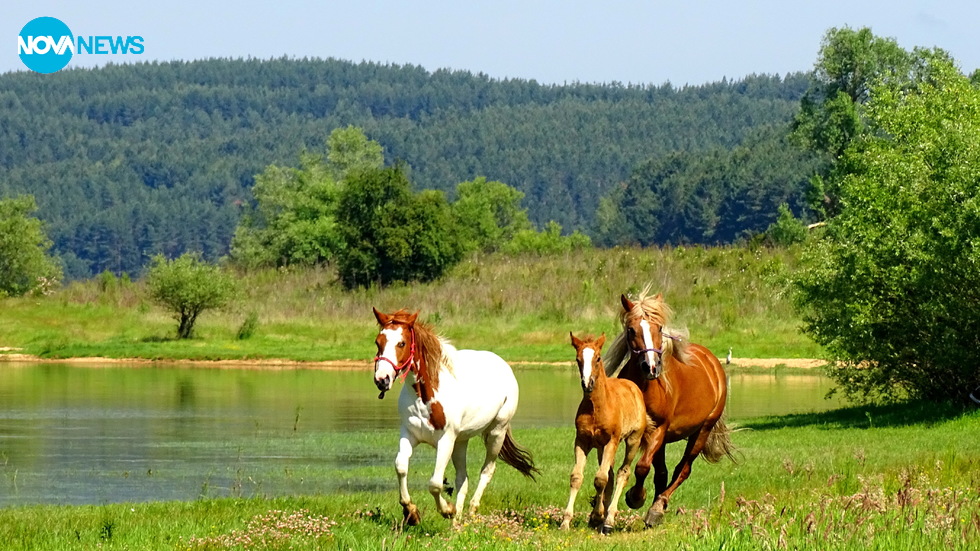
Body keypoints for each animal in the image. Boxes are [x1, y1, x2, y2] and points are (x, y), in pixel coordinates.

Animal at [372, 308, 536, 528]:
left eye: (401, 343)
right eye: (378, 342)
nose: (382, 379)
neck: (425, 396)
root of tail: (503, 365)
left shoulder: (446, 440)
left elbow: (435, 483)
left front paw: (446, 510)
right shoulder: (409, 434)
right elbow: (401, 466)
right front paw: (411, 512)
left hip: (496, 433)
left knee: (487, 470)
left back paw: (470, 510)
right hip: (461, 441)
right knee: (462, 479)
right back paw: (457, 520)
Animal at [604, 288, 736, 528]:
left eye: (659, 328)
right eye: (631, 329)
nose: (651, 367)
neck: (646, 387)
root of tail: (712, 362)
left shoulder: (658, 429)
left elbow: (642, 467)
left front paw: (636, 497)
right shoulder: (642, 433)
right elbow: (648, 469)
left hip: (701, 431)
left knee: (682, 470)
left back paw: (658, 506)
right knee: (664, 473)